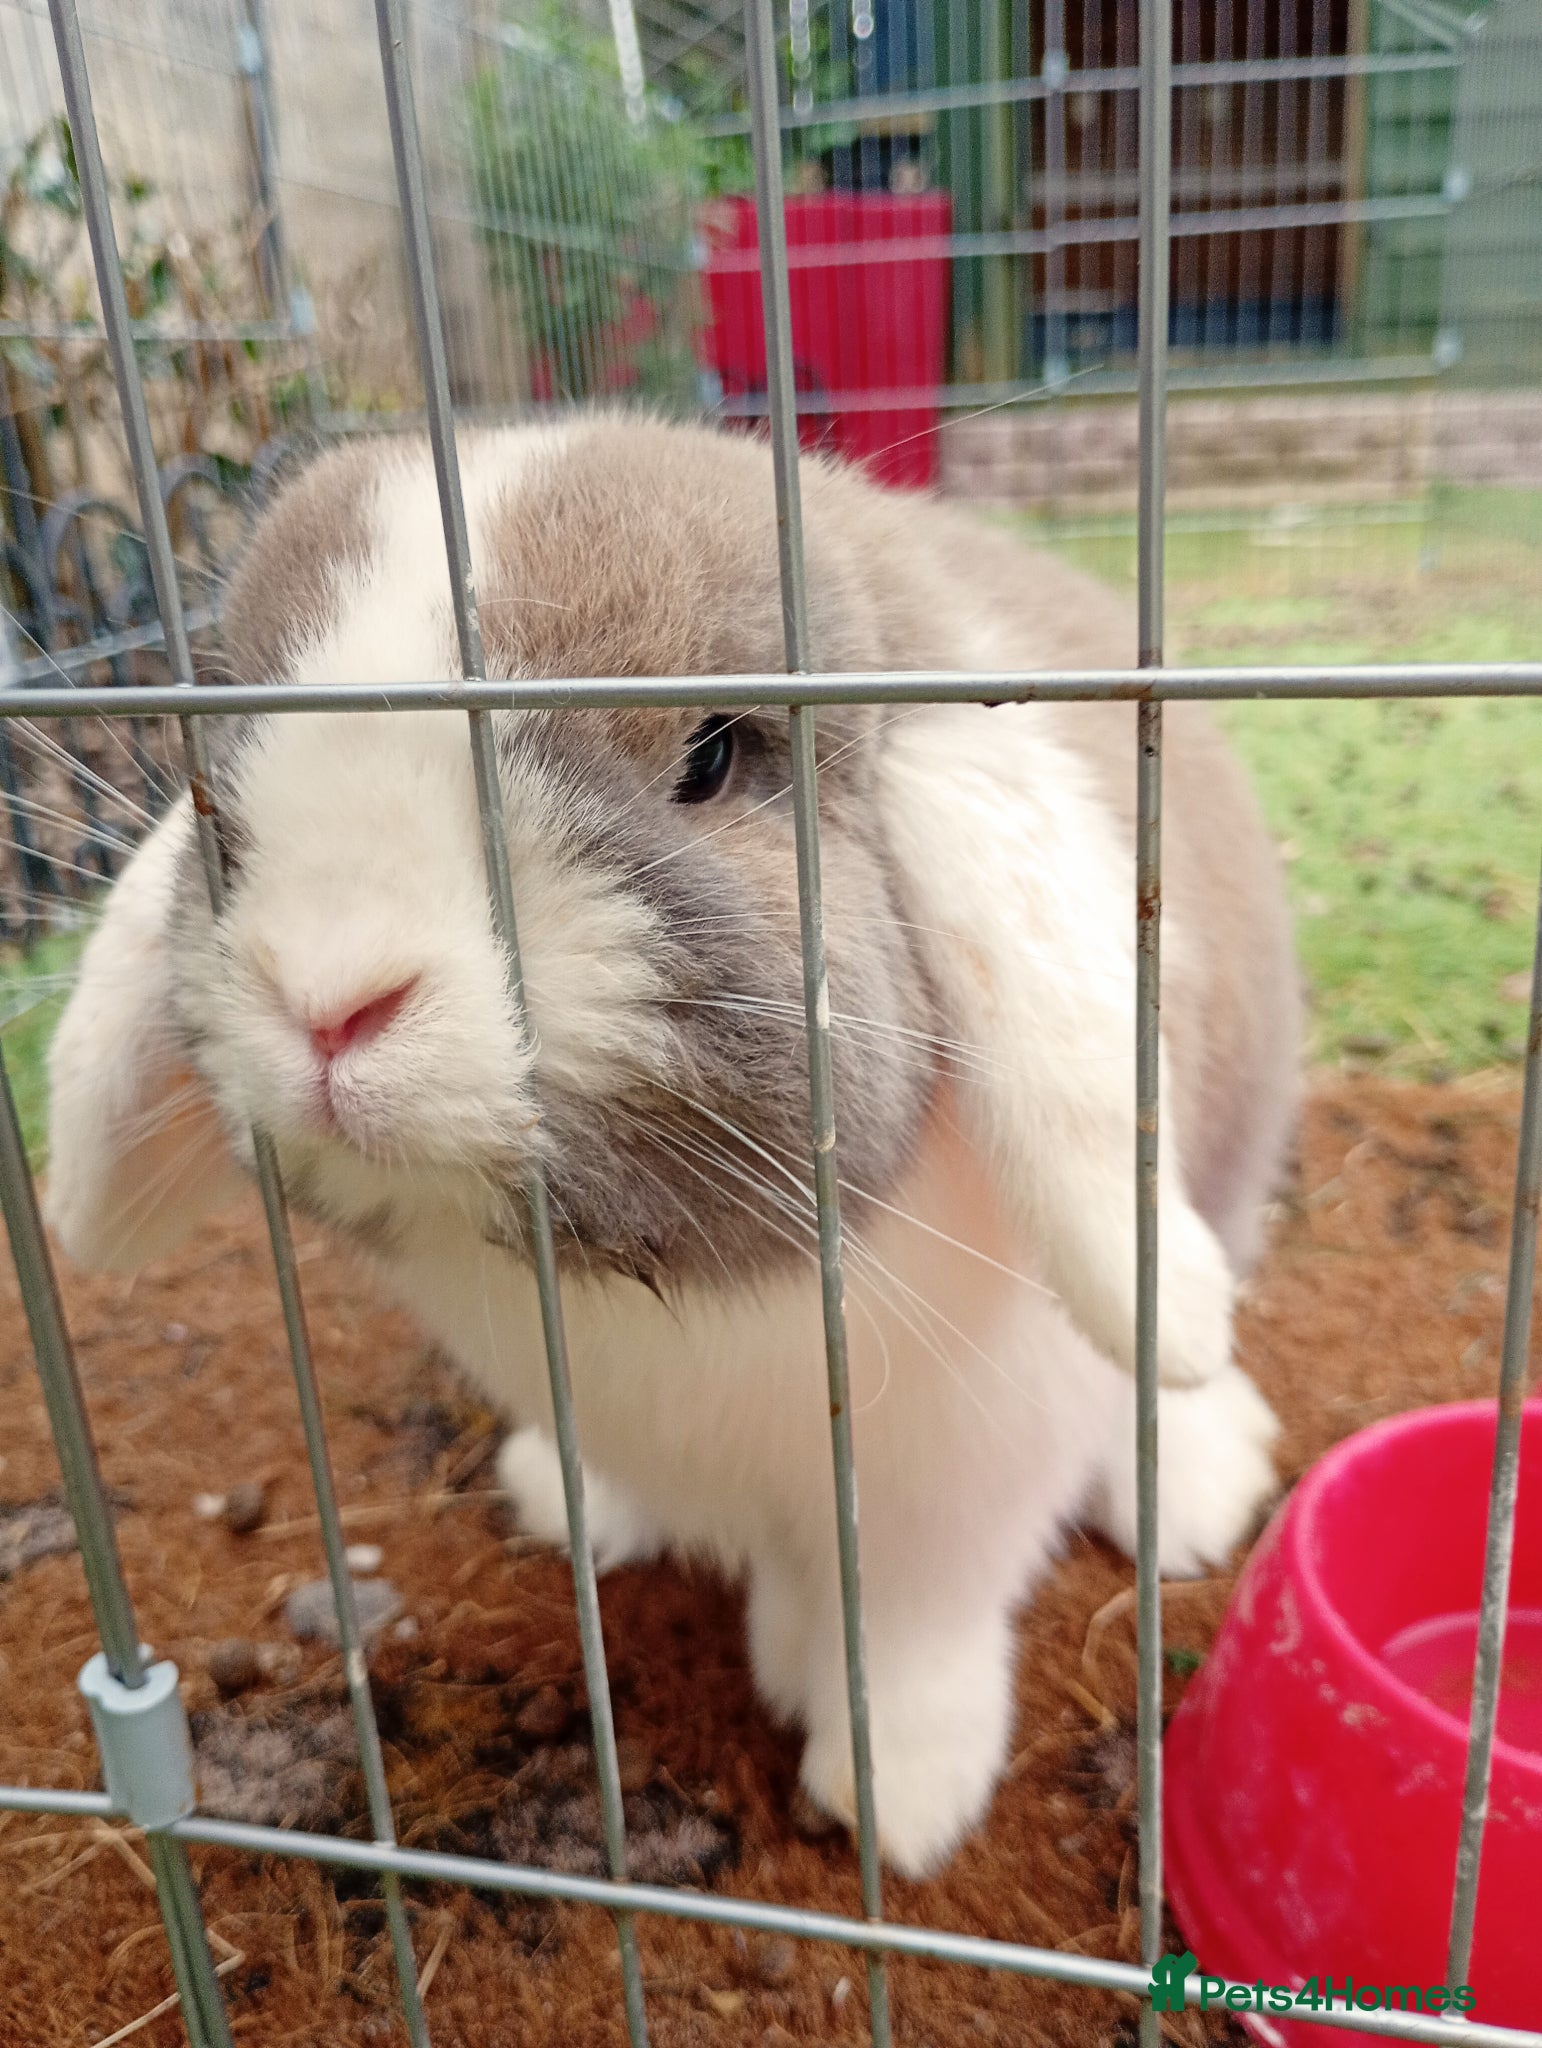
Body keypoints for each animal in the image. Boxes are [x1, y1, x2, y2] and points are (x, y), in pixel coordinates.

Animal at [44, 416, 1299, 1878]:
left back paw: (1191, 1484)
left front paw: (896, 1796)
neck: (666, 1296)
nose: (327, 993)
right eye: (224, 789)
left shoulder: (954, 1483)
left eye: (711, 757)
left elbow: (911, 1631)